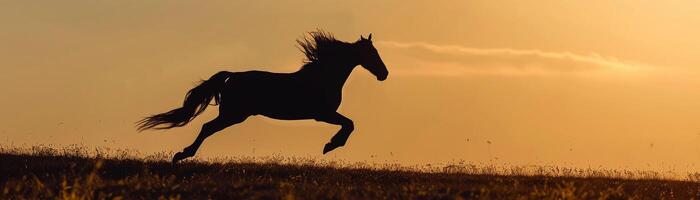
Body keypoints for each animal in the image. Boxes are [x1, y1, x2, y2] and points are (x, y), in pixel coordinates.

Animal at [137, 30, 388, 162]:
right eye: (372, 53)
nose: (384, 74)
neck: (323, 76)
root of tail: (232, 75)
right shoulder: (322, 113)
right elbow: (350, 124)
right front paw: (330, 145)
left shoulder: (324, 114)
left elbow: (349, 124)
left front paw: (330, 145)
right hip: (234, 114)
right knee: (207, 128)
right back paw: (182, 155)